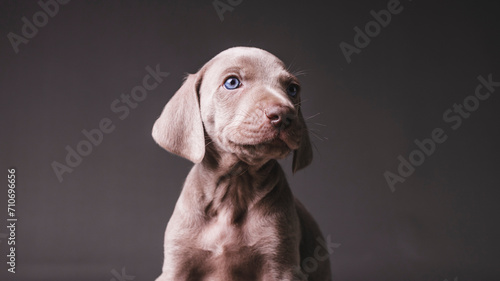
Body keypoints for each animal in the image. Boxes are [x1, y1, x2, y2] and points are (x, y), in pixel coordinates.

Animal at [152, 47, 332, 278]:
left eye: (292, 89)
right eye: (232, 82)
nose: (284, 115)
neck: (235, 187)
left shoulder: (281, 265)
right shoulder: (176, 268)